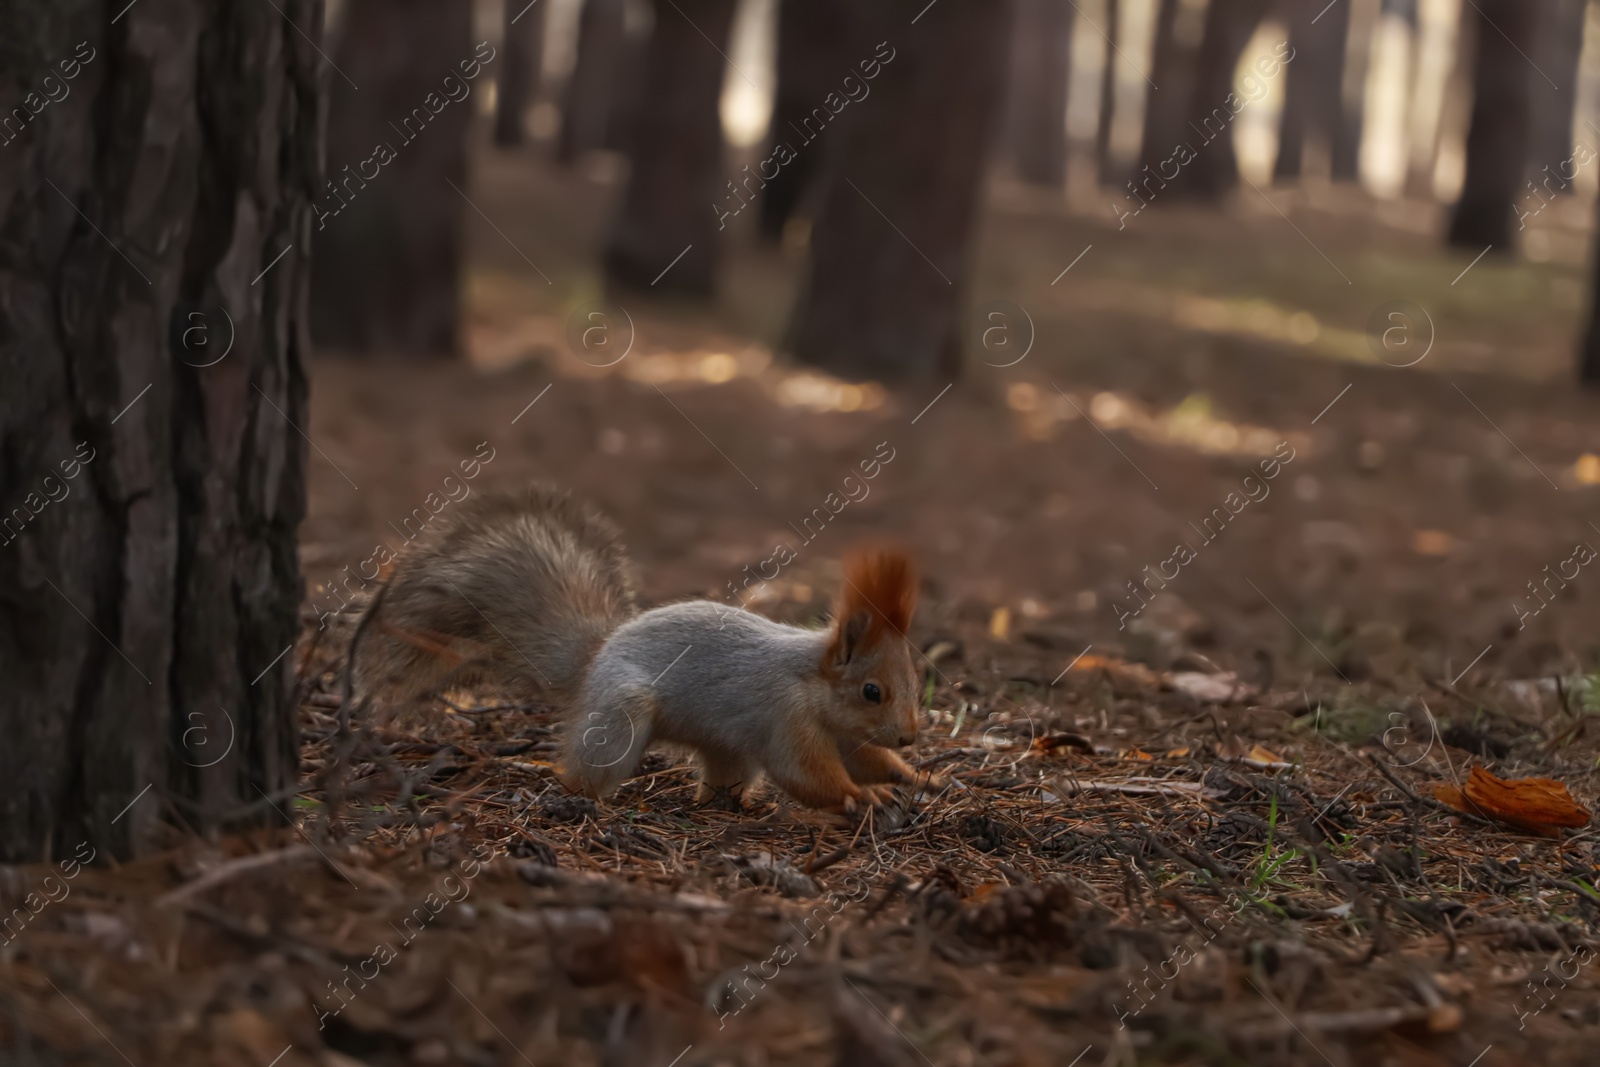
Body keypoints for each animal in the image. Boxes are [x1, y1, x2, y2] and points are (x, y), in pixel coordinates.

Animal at [348, 489, 928, 812]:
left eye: (915, 682)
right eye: (871, 691)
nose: (910, 736)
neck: (811, 679)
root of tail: (597, 655)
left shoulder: (845, 732)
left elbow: (866, 760)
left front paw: (912, 775)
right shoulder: (784, 716)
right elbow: (808, 774)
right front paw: (862, 797)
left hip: (726, 747)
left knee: (724, 774)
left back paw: (725, 802)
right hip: (621, 711)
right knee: (586, 768)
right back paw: (577, 791)